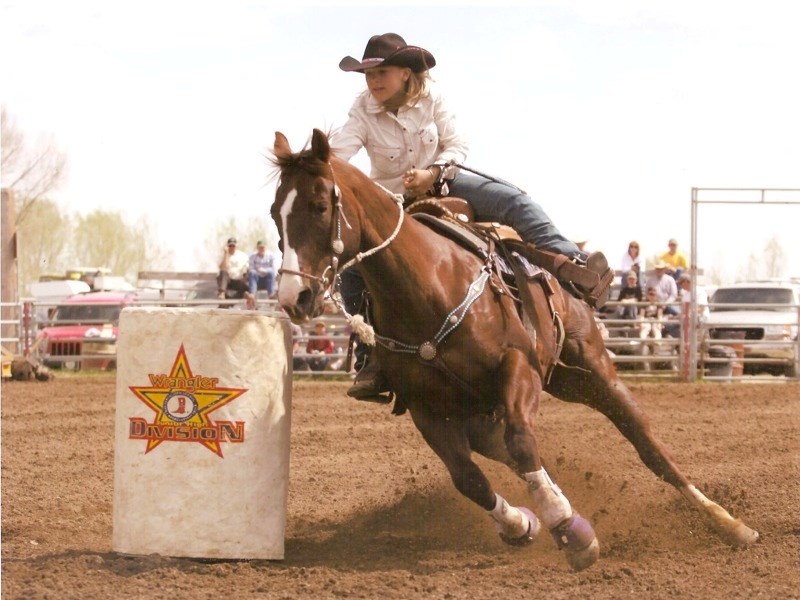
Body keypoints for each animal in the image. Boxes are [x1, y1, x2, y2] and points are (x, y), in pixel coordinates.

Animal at [272, 129, 760, 568]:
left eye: (319, 206)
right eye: (276, 215)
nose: (294, 297)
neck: (429, 284)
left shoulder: (518, 368)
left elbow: (524, 445)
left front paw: (568, 528)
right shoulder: (427, 407)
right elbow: (468, 478)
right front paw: (524, 523)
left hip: (588, 372)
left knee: (645, 442)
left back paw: (730, 524)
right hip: (492, 406)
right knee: (500, 448)